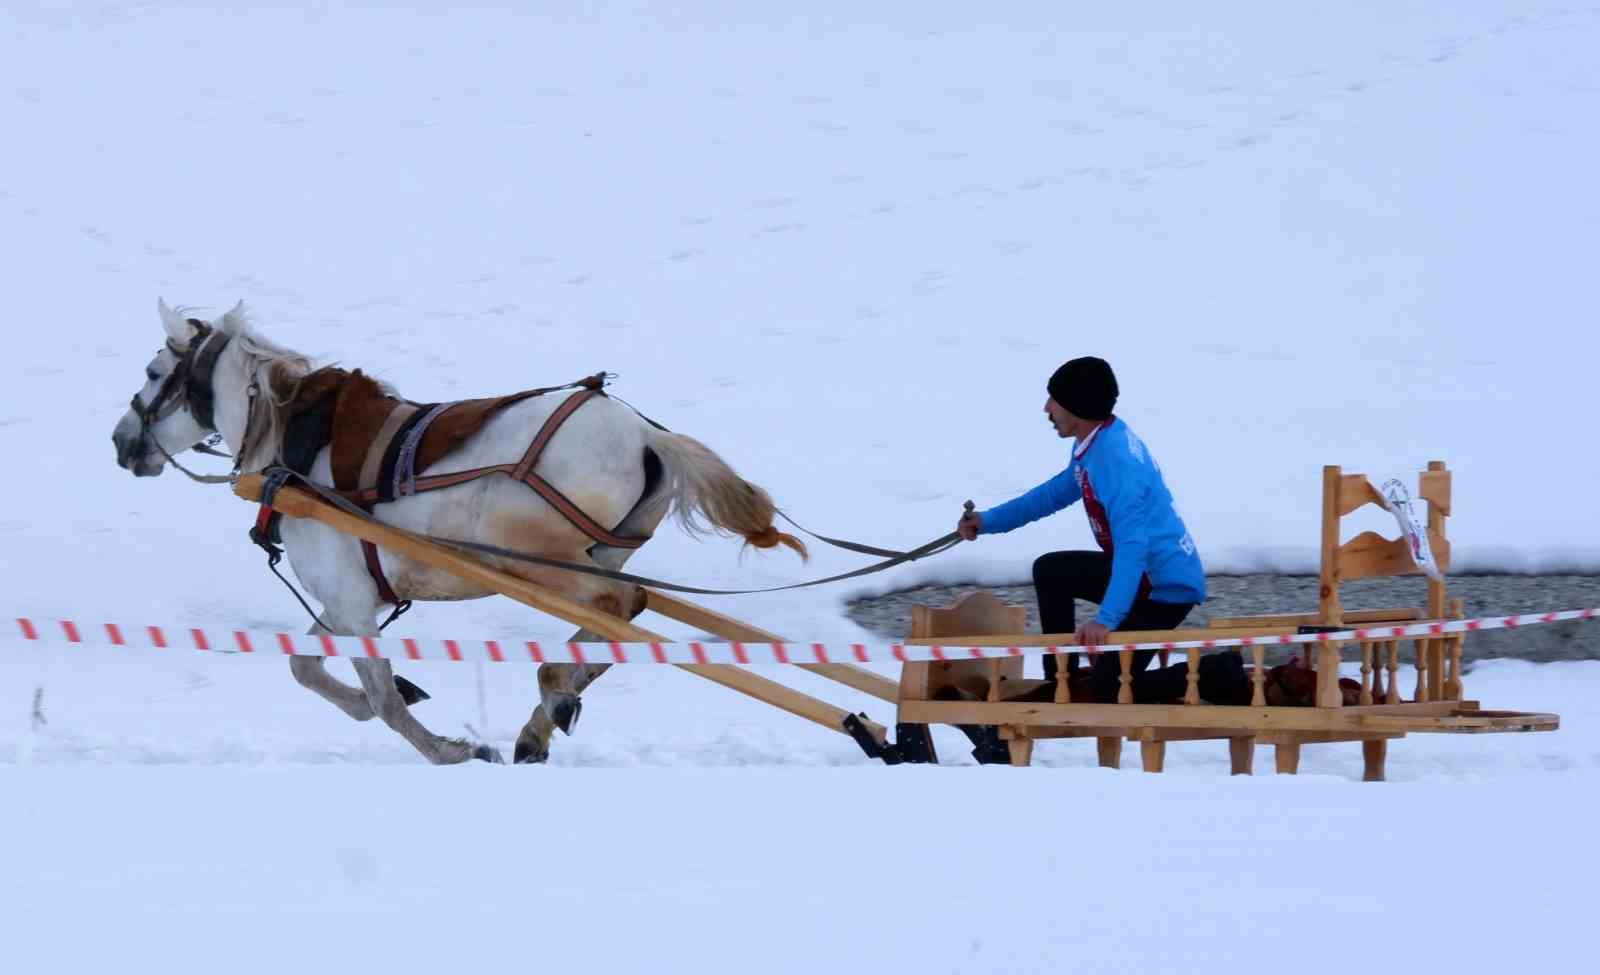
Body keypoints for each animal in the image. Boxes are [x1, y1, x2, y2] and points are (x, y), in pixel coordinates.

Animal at [112, 296, 806, 762]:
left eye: (152, 374)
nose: (121, 442)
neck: (298, 446)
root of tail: (645, 434)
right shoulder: (351, 597)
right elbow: (307, 668)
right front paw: (385, 702)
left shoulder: (351, 601)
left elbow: (384, 701)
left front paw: (452, 748)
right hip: (590, 557)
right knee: (618, 615)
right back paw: (550, 706)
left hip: (534, 558)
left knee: (622, 604)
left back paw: (552, 690)